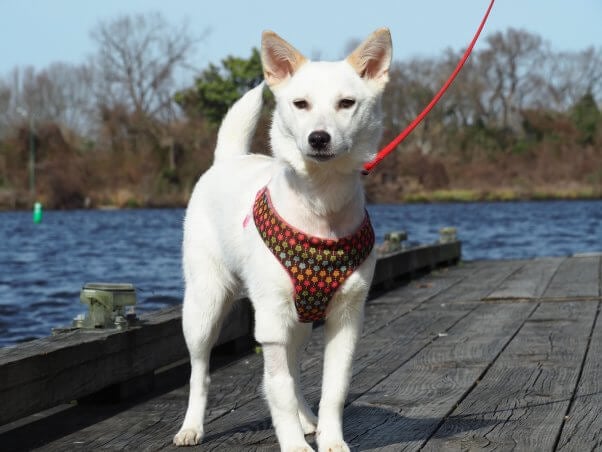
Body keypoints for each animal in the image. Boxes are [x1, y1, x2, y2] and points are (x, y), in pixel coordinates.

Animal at [172, 29, 390, 452]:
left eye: (346, 103)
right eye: (300, 103)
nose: (318, 138)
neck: (321, 203)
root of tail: (227, 160)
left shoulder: (347, 319)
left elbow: (332, 390)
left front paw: (331, 439)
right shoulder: (271, 321)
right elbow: (280, 391)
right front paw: (293, 444)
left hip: (300, 323)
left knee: (293, 370)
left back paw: (308, 419)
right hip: (204, 308)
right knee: (200, 372)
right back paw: (192, 426)